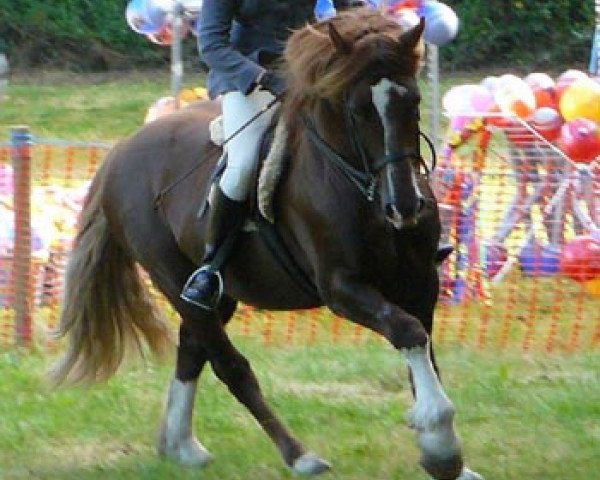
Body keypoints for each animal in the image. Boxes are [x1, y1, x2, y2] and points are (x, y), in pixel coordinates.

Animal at [51, 8, 482, 480]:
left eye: (414, 102)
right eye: (358, 109)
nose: (403, 206)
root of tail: (120, 152)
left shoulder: (420, 281)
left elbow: (423, 348)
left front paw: (449, 459)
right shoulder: (342, 288)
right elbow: (407, 332)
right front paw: (441, 446)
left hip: (216, 296)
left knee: (192, 350)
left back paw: (181, 447)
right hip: (173, 279)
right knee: (230, 366)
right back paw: (298, 456)